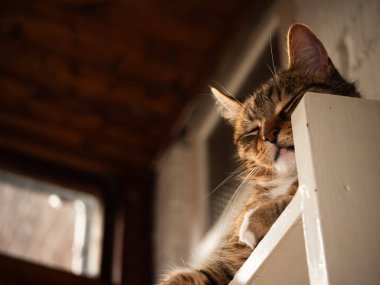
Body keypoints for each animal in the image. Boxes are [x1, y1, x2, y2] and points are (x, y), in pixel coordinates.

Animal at [157, 23, 360, 284]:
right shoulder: (225, 267)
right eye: (253, 130)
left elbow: (294, 192)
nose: (269, 134)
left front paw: (256, 219)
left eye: (290, 103)